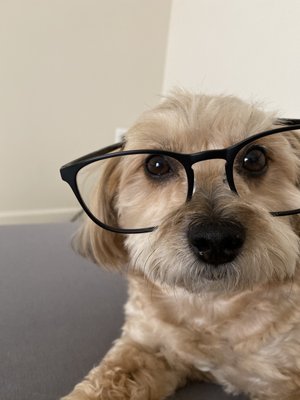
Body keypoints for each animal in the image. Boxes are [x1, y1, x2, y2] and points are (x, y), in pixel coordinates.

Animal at [60, 91, 300, 400]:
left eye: (255, 158)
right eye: (157, 165)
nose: (215, 239)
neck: (208, 305)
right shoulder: (145, 346)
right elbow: (105, 381)